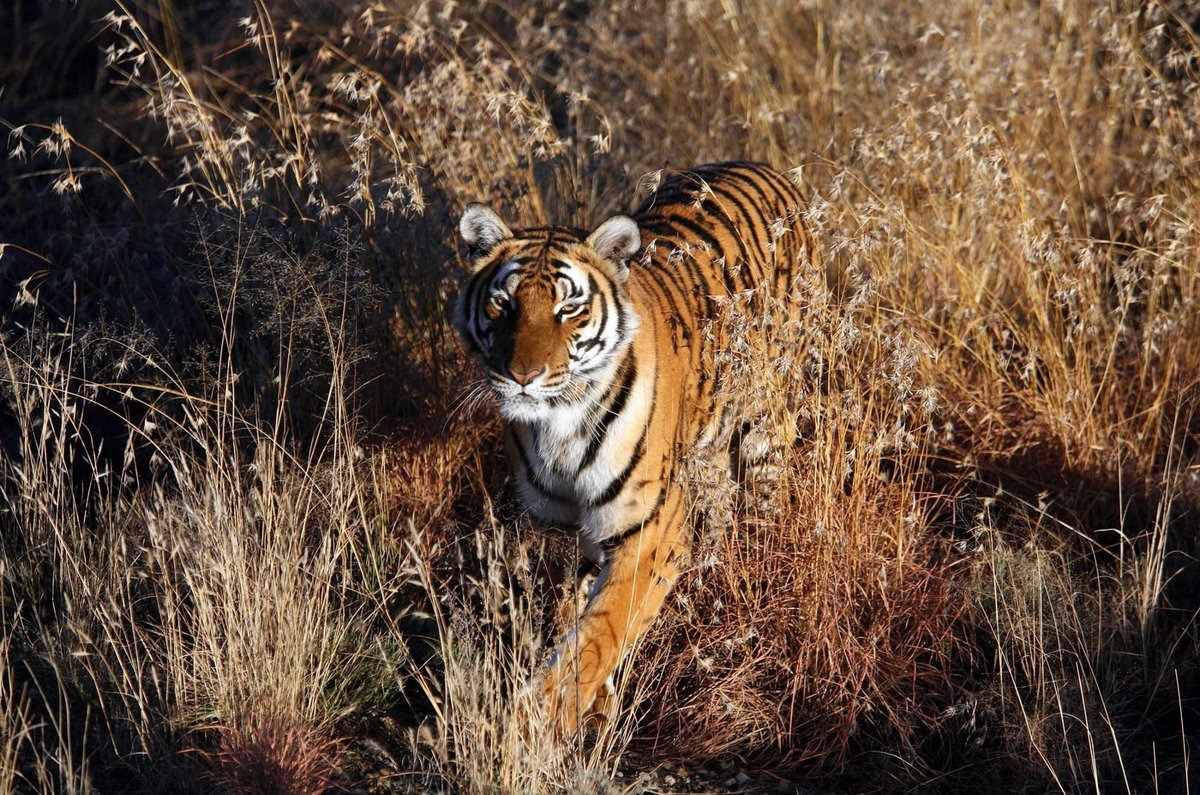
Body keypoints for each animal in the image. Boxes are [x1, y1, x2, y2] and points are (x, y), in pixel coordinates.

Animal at [451, 163, 816, 739]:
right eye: (502, 304)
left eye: (568, 309)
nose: (523, 376)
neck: (557, 427)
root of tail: (769, 169)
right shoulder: (561, 532)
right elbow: (574, 615)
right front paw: (589, 710)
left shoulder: (650, 531)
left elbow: (600, 632)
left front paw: (535, 725)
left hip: (767, 427)